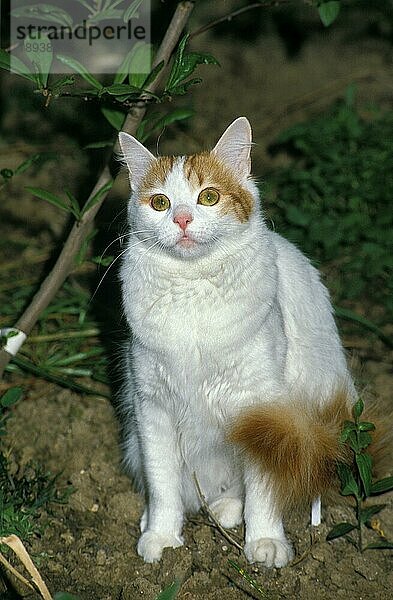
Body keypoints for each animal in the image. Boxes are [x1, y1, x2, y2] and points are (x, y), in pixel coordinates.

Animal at [118, 116, 354, 568]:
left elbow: (263, 489)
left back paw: (231, 512)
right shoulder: (152, 406)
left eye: (208, 197)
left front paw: (265, 540)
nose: (182, 220)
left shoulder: (263, 408)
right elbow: (162, 483)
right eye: (159, 203)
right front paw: (162, 534)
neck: (192, 291)